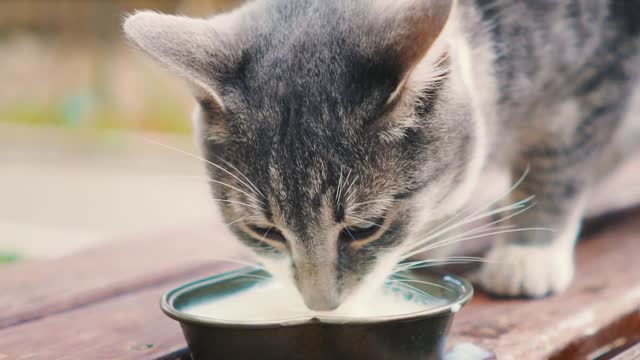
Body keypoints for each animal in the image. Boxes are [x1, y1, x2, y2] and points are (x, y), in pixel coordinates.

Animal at [124, 0, 640, 310]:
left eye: (364, 228)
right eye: (264, 231)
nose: (322, 306)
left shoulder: (594, 82)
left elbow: (558, 164)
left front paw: (528, 252)